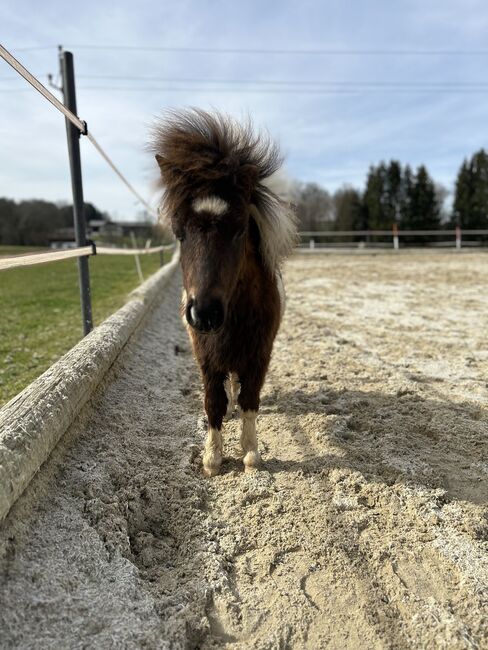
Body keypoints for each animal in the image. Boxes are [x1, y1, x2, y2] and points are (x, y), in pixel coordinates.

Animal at [152, 110, 298, 476]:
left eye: (240, 229)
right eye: (179, 232)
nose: (204, 314)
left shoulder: (259, 354)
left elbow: (250, 401)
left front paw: (250, 453)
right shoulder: (206, 357)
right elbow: (213, 402)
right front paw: (212, 458)